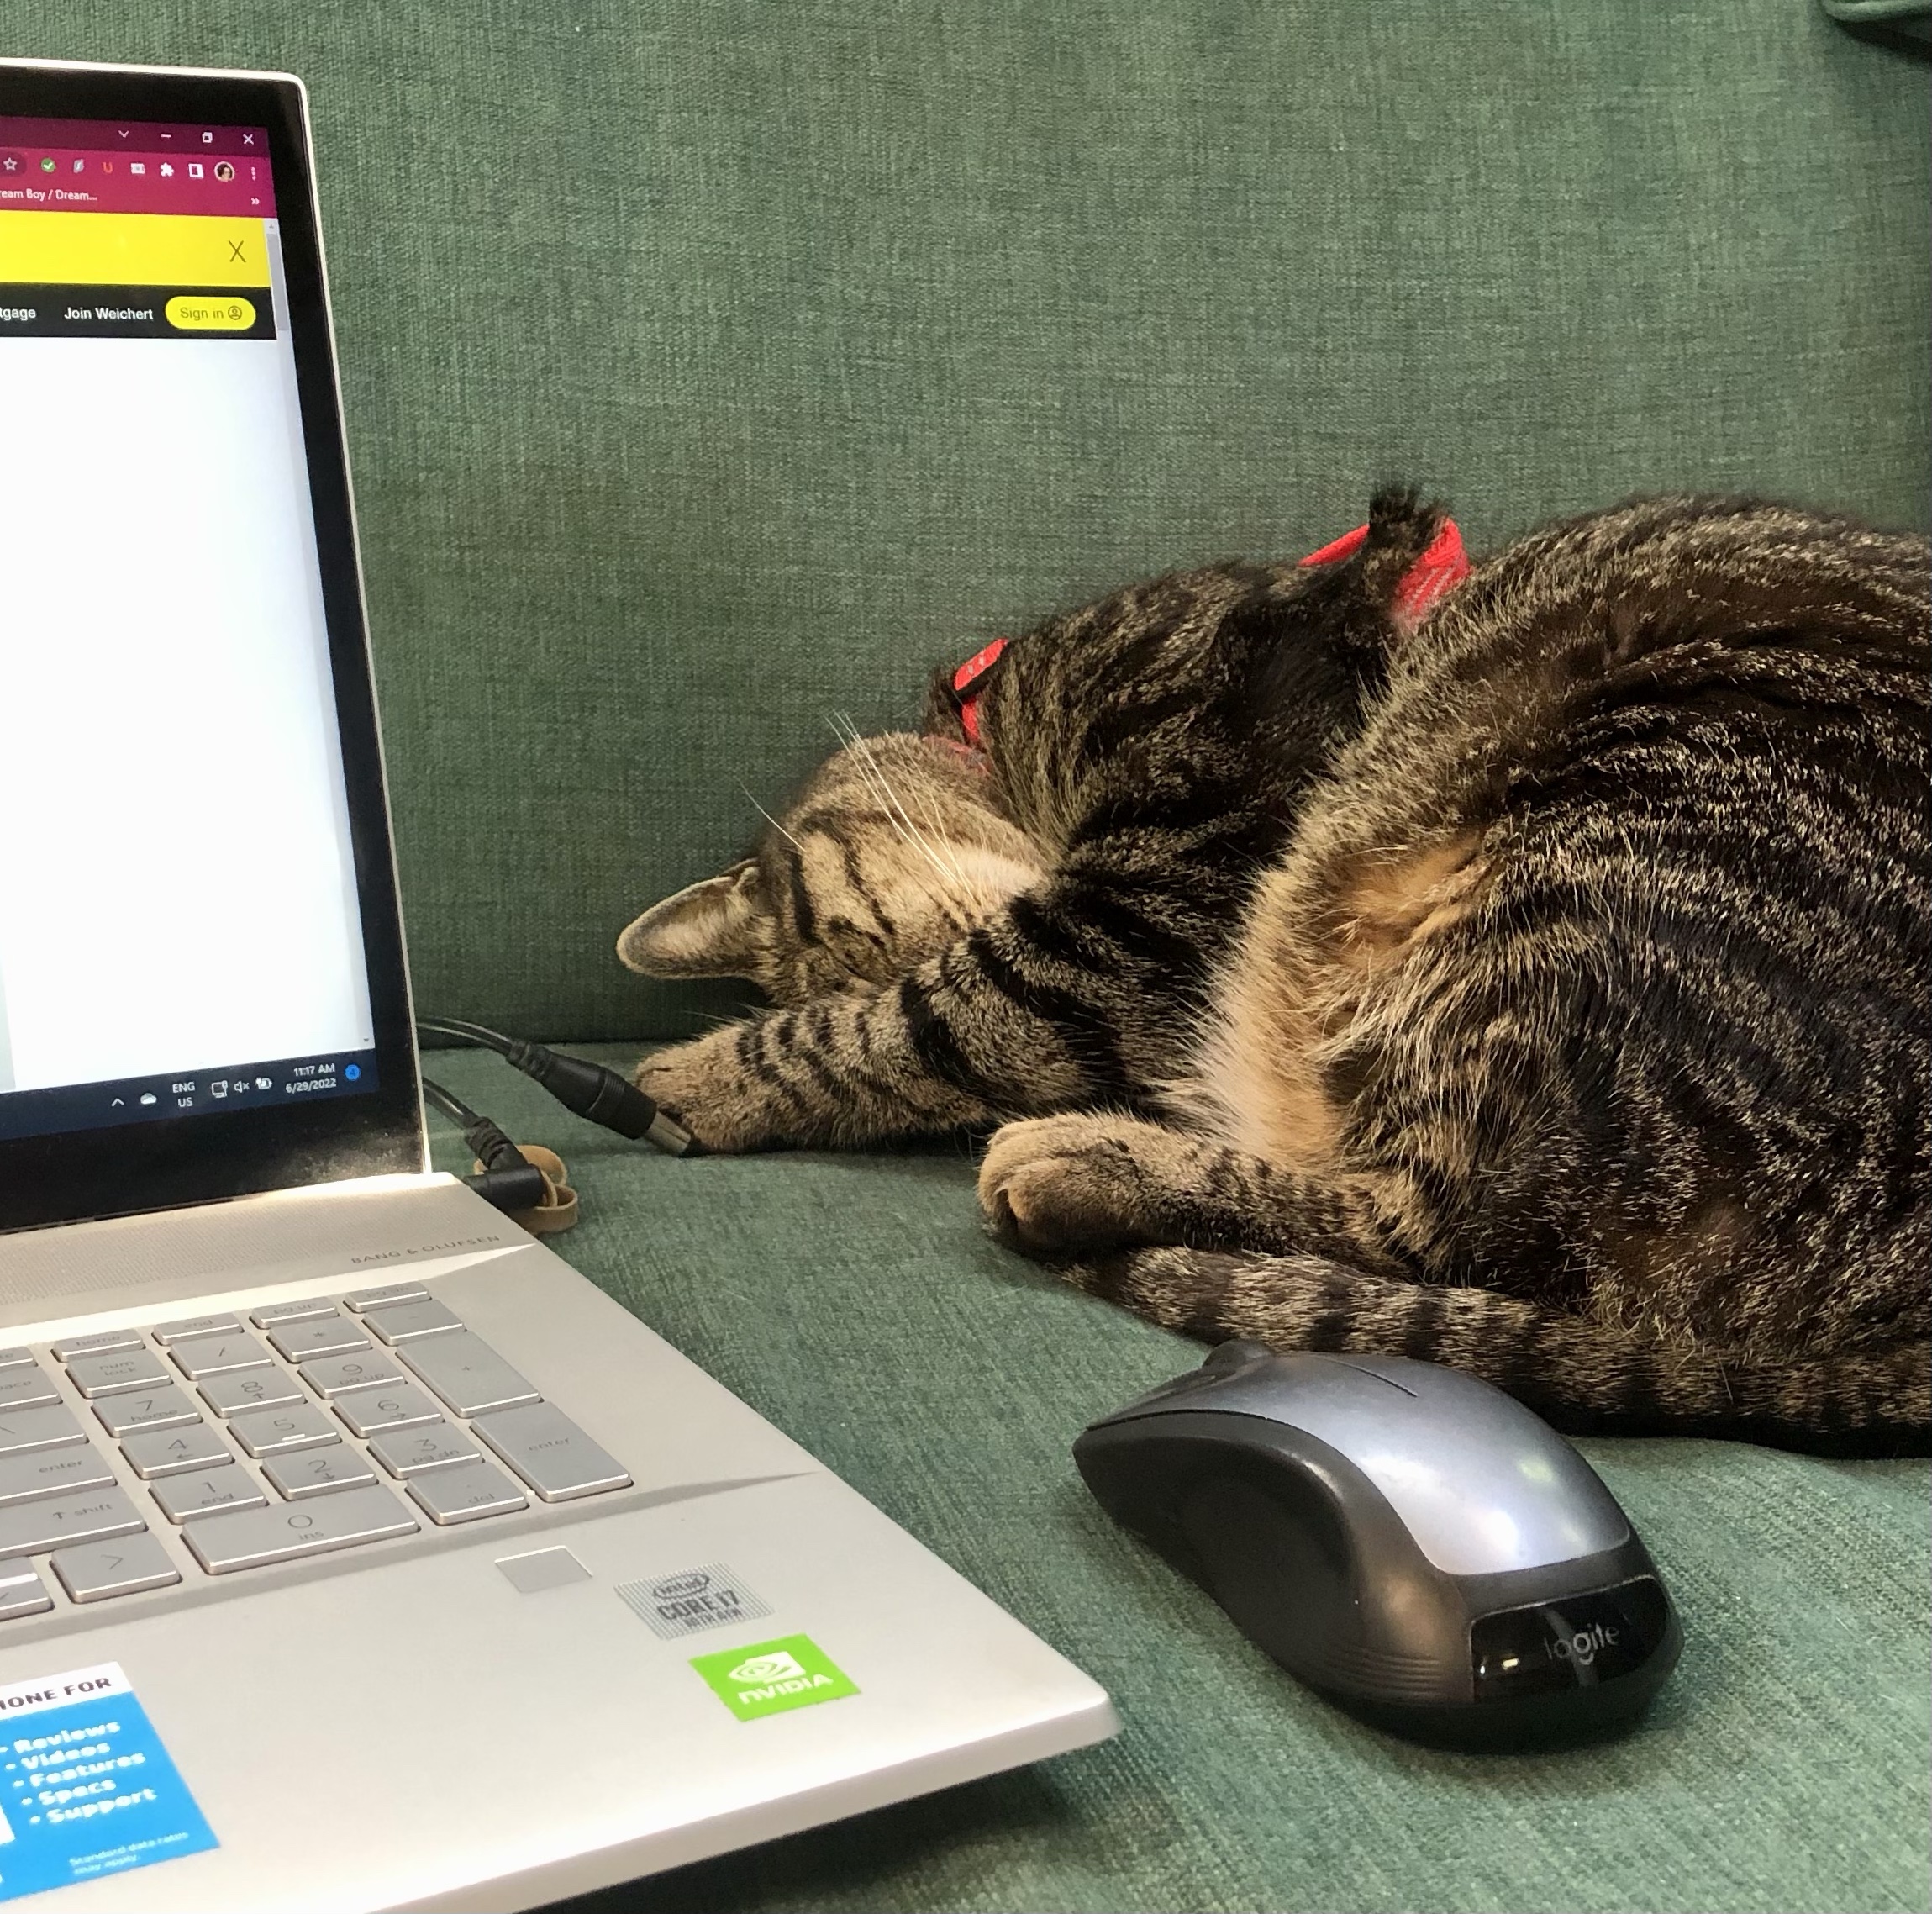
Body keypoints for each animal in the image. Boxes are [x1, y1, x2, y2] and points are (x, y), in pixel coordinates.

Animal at [622, 491, 1932, 1453]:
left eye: (864, 939)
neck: (996, 745)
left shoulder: (1146, 898)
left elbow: (903, 1023)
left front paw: (691, 1079)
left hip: (1580, 881)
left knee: (1449, 1231)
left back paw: (1080, 1163)